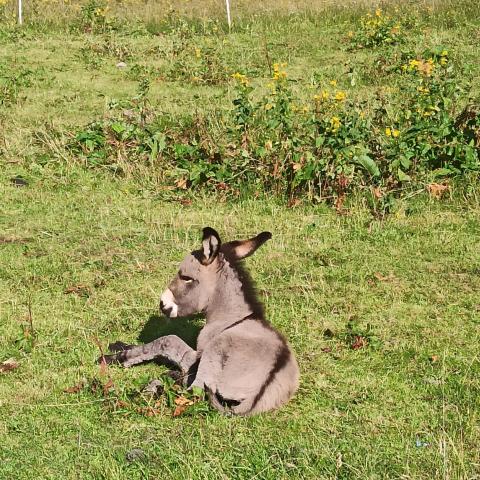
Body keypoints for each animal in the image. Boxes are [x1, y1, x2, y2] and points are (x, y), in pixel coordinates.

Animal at [103, 227, 298, 414]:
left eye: (186, 278)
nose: (162, 304)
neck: (229, 319)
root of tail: (256, 398)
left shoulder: (197, 355)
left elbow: (167, 340)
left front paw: (116, 358)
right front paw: (121, 347)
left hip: (213, 355)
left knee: (194, 391)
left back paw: (150, 389)